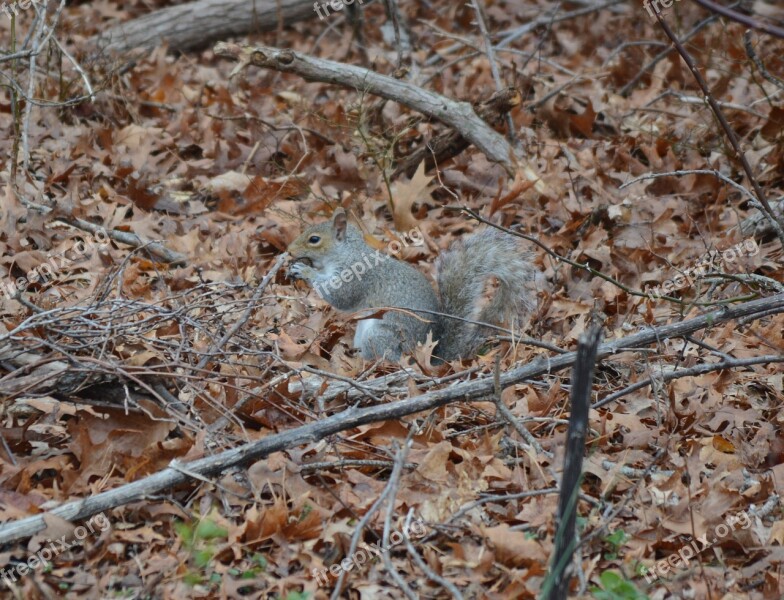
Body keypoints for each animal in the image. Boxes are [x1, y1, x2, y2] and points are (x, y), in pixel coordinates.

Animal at [288, 209, 540, 360]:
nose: (289, 251)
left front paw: (305, 271)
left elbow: (340, 295)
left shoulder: (357, 276)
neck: (346, 252)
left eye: (314, 239)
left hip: (382, 335)